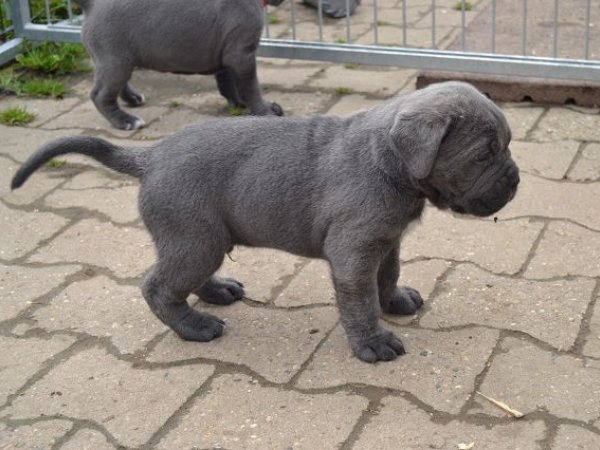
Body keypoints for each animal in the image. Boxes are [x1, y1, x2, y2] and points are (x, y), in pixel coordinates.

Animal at [12, 82, 519, 363]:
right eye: (483, 155)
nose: (515, 181)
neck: (389, 161)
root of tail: (150, 156)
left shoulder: (387, 239)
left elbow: (387, 274)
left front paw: (394, 300)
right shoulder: (353, 253)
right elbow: (358, 303)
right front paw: (372, 344)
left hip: (201, 239)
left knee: (183, 279)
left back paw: (216, 293)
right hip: (195, 238)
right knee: (158, 287)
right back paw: (196, 327)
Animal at [73, 0, 284, 130]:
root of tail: (91, 5)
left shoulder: (228, 56)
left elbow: (229, 83)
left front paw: (240, 103)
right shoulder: (241, 55)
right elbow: (251, 87)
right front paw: (265, 112)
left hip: (118, 61)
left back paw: (132, 99)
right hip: (115, 61)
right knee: (100, 95)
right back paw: (125, 120)